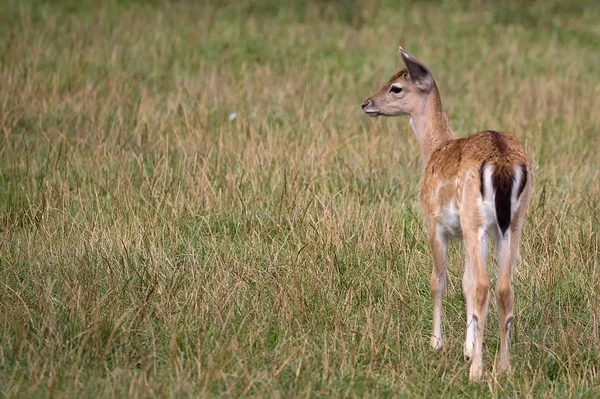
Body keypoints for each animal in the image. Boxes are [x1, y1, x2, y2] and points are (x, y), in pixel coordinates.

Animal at [364, 48, 532, 380]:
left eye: (396, 87)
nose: (366, 104)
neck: (434, 149)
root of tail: (503, 165)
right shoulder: (468, 232)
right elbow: (464, 282)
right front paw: (467, 350)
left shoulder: (434, 221)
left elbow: (439, 280)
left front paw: (437, 343)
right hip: (513, 223)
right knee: (504, 287)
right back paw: (504, 368)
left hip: (475, 220)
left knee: (483, 285)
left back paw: (478, 372)